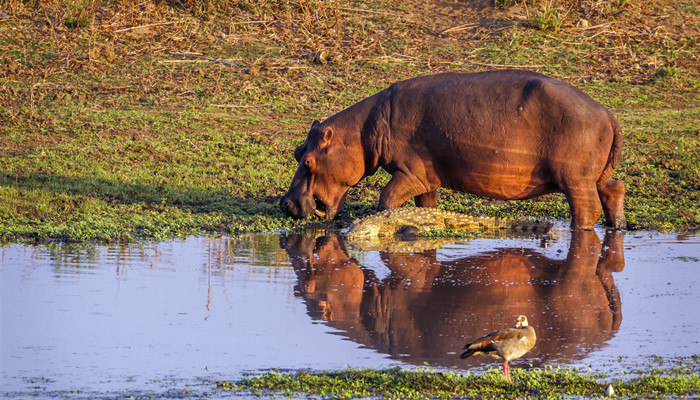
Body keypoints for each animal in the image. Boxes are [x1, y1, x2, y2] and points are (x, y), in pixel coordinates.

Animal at [282, 70, 628, 230]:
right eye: (298, 151)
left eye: (309, 161)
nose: (287, 204)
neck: (360, 133)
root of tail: (609, 114)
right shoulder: (426, 179)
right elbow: (426, 204)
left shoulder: (410, 172)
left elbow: (388, 198)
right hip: (593, 176)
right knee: (615, 188)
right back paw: (618, 226)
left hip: (575, 180)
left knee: (586, 208)